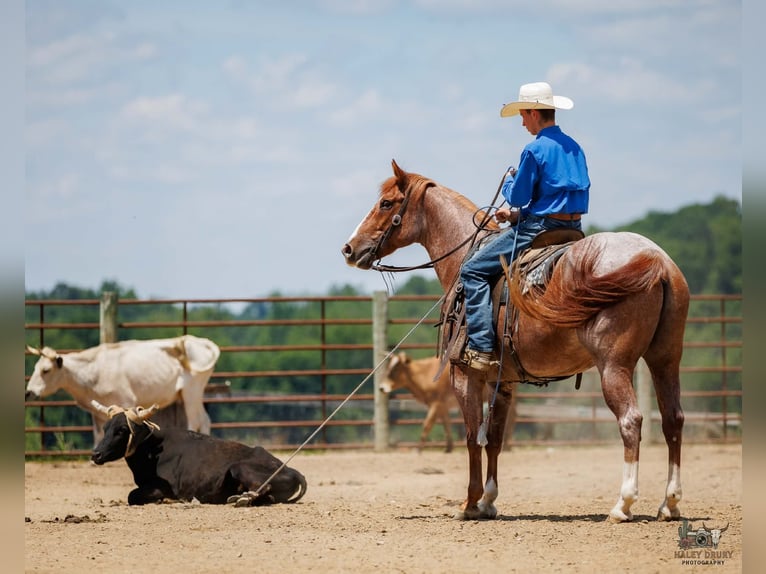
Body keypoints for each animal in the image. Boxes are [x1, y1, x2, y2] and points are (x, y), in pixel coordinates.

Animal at [341, 159, 689, 523]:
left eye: (386, 203)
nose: (349, 249)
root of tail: (657, 261)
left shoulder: (465, 375)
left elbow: (472, 435)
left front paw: (469, 503)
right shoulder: (502, 381)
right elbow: (494, 437)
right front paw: (489, 501)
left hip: (614, 365)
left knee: (631, 420)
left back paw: (623, 504)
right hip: (665, 359)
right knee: (673, 419)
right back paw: (670, 503)